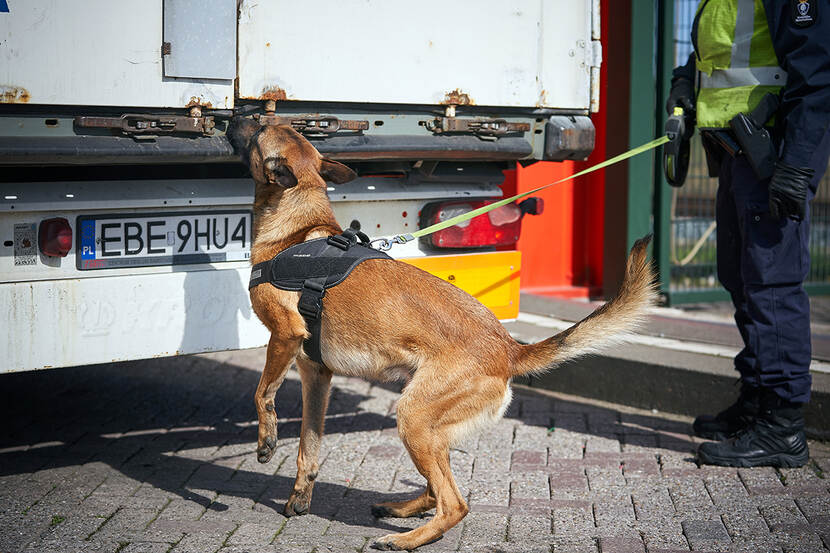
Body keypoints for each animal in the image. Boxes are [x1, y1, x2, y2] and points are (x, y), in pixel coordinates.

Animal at [228, 118, 656, 548]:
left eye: (259, 128)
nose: (236, 118)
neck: (298, 226)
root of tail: (508, 348)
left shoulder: (284, 337)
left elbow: (262, 393)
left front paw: (265, 443)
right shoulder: (316, 375)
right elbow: (309, 444)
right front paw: (299, 496)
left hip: (412, 417)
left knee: (454, 504)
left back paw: (405, 539)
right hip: (431, 428)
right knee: (438, 490)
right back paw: (400, 510)